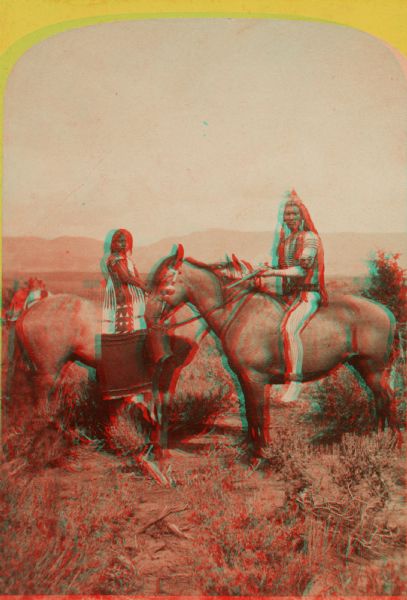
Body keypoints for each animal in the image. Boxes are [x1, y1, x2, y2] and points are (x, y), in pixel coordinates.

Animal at [149, 244, 398, 454]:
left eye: (164, 281)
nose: (149, 317)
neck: (239, 312)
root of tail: (387, 311)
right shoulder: (245, 379)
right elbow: (250, 412)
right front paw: (251, 446)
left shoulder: (256, 379)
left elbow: (259, 414)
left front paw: (260, 452)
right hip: (364, 366)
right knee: (380, 400)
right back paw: (379, 436)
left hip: (373, 368)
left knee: (385, 398)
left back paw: (389, 439)